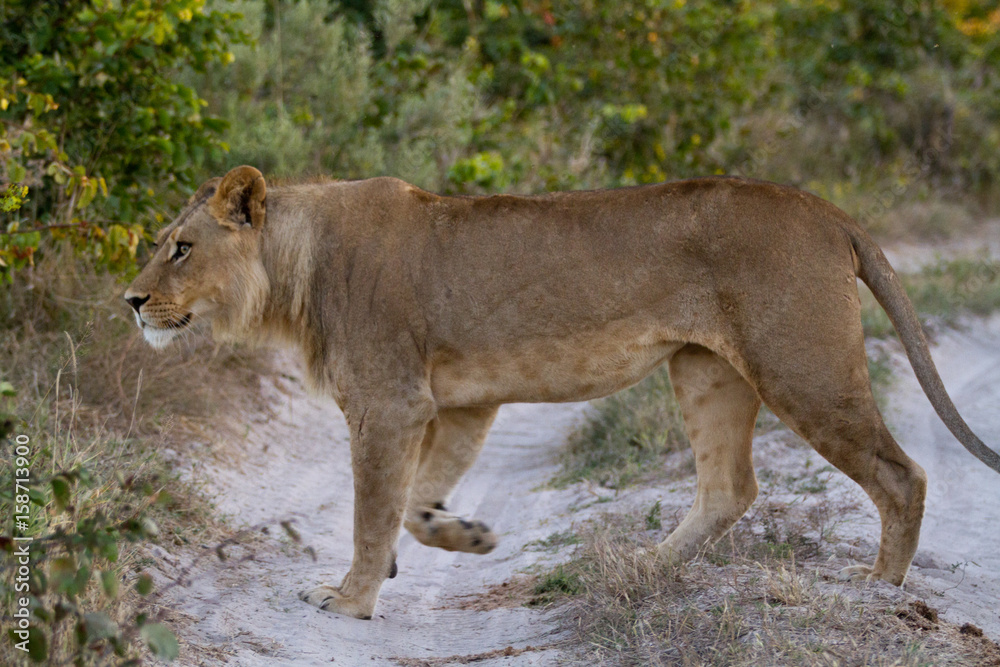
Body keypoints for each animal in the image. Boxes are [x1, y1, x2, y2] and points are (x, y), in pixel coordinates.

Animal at [125, 166, 1000, 620]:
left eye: (181, 247)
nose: (131, 301)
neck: (295, 272)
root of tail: (825, 209)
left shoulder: (389, 402)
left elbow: (373, 509)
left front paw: (349, 599)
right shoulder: (460, 403)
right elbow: (414, 499)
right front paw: (465, 535)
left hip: (802, 366)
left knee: (901, 474)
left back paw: (879, 591)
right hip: (705, 370)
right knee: (729, 486)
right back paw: (643, 566)